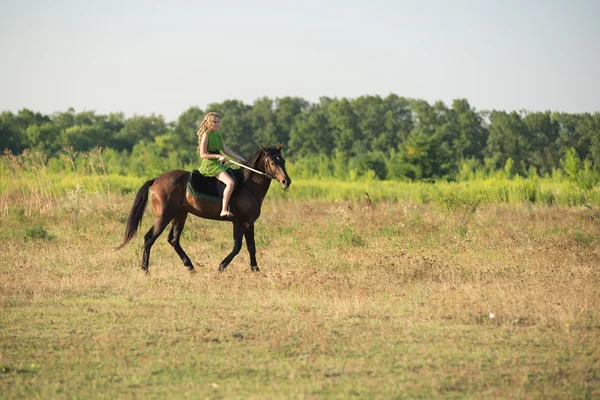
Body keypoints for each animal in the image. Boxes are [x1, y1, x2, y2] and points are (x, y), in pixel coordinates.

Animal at [116, 144, 290, 272]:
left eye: (283, 161)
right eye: (273, 162)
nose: (286, 181)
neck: (247, 186)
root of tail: (157, 179)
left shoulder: (241, 223)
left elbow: (244, 247)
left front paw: (252, 269)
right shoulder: (245, 222)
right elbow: (244, 247)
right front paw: (224, 267)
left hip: (180, 215)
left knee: (173, 240)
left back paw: (190, 267)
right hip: (164, 216)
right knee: (149, 238)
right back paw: (145, 269)